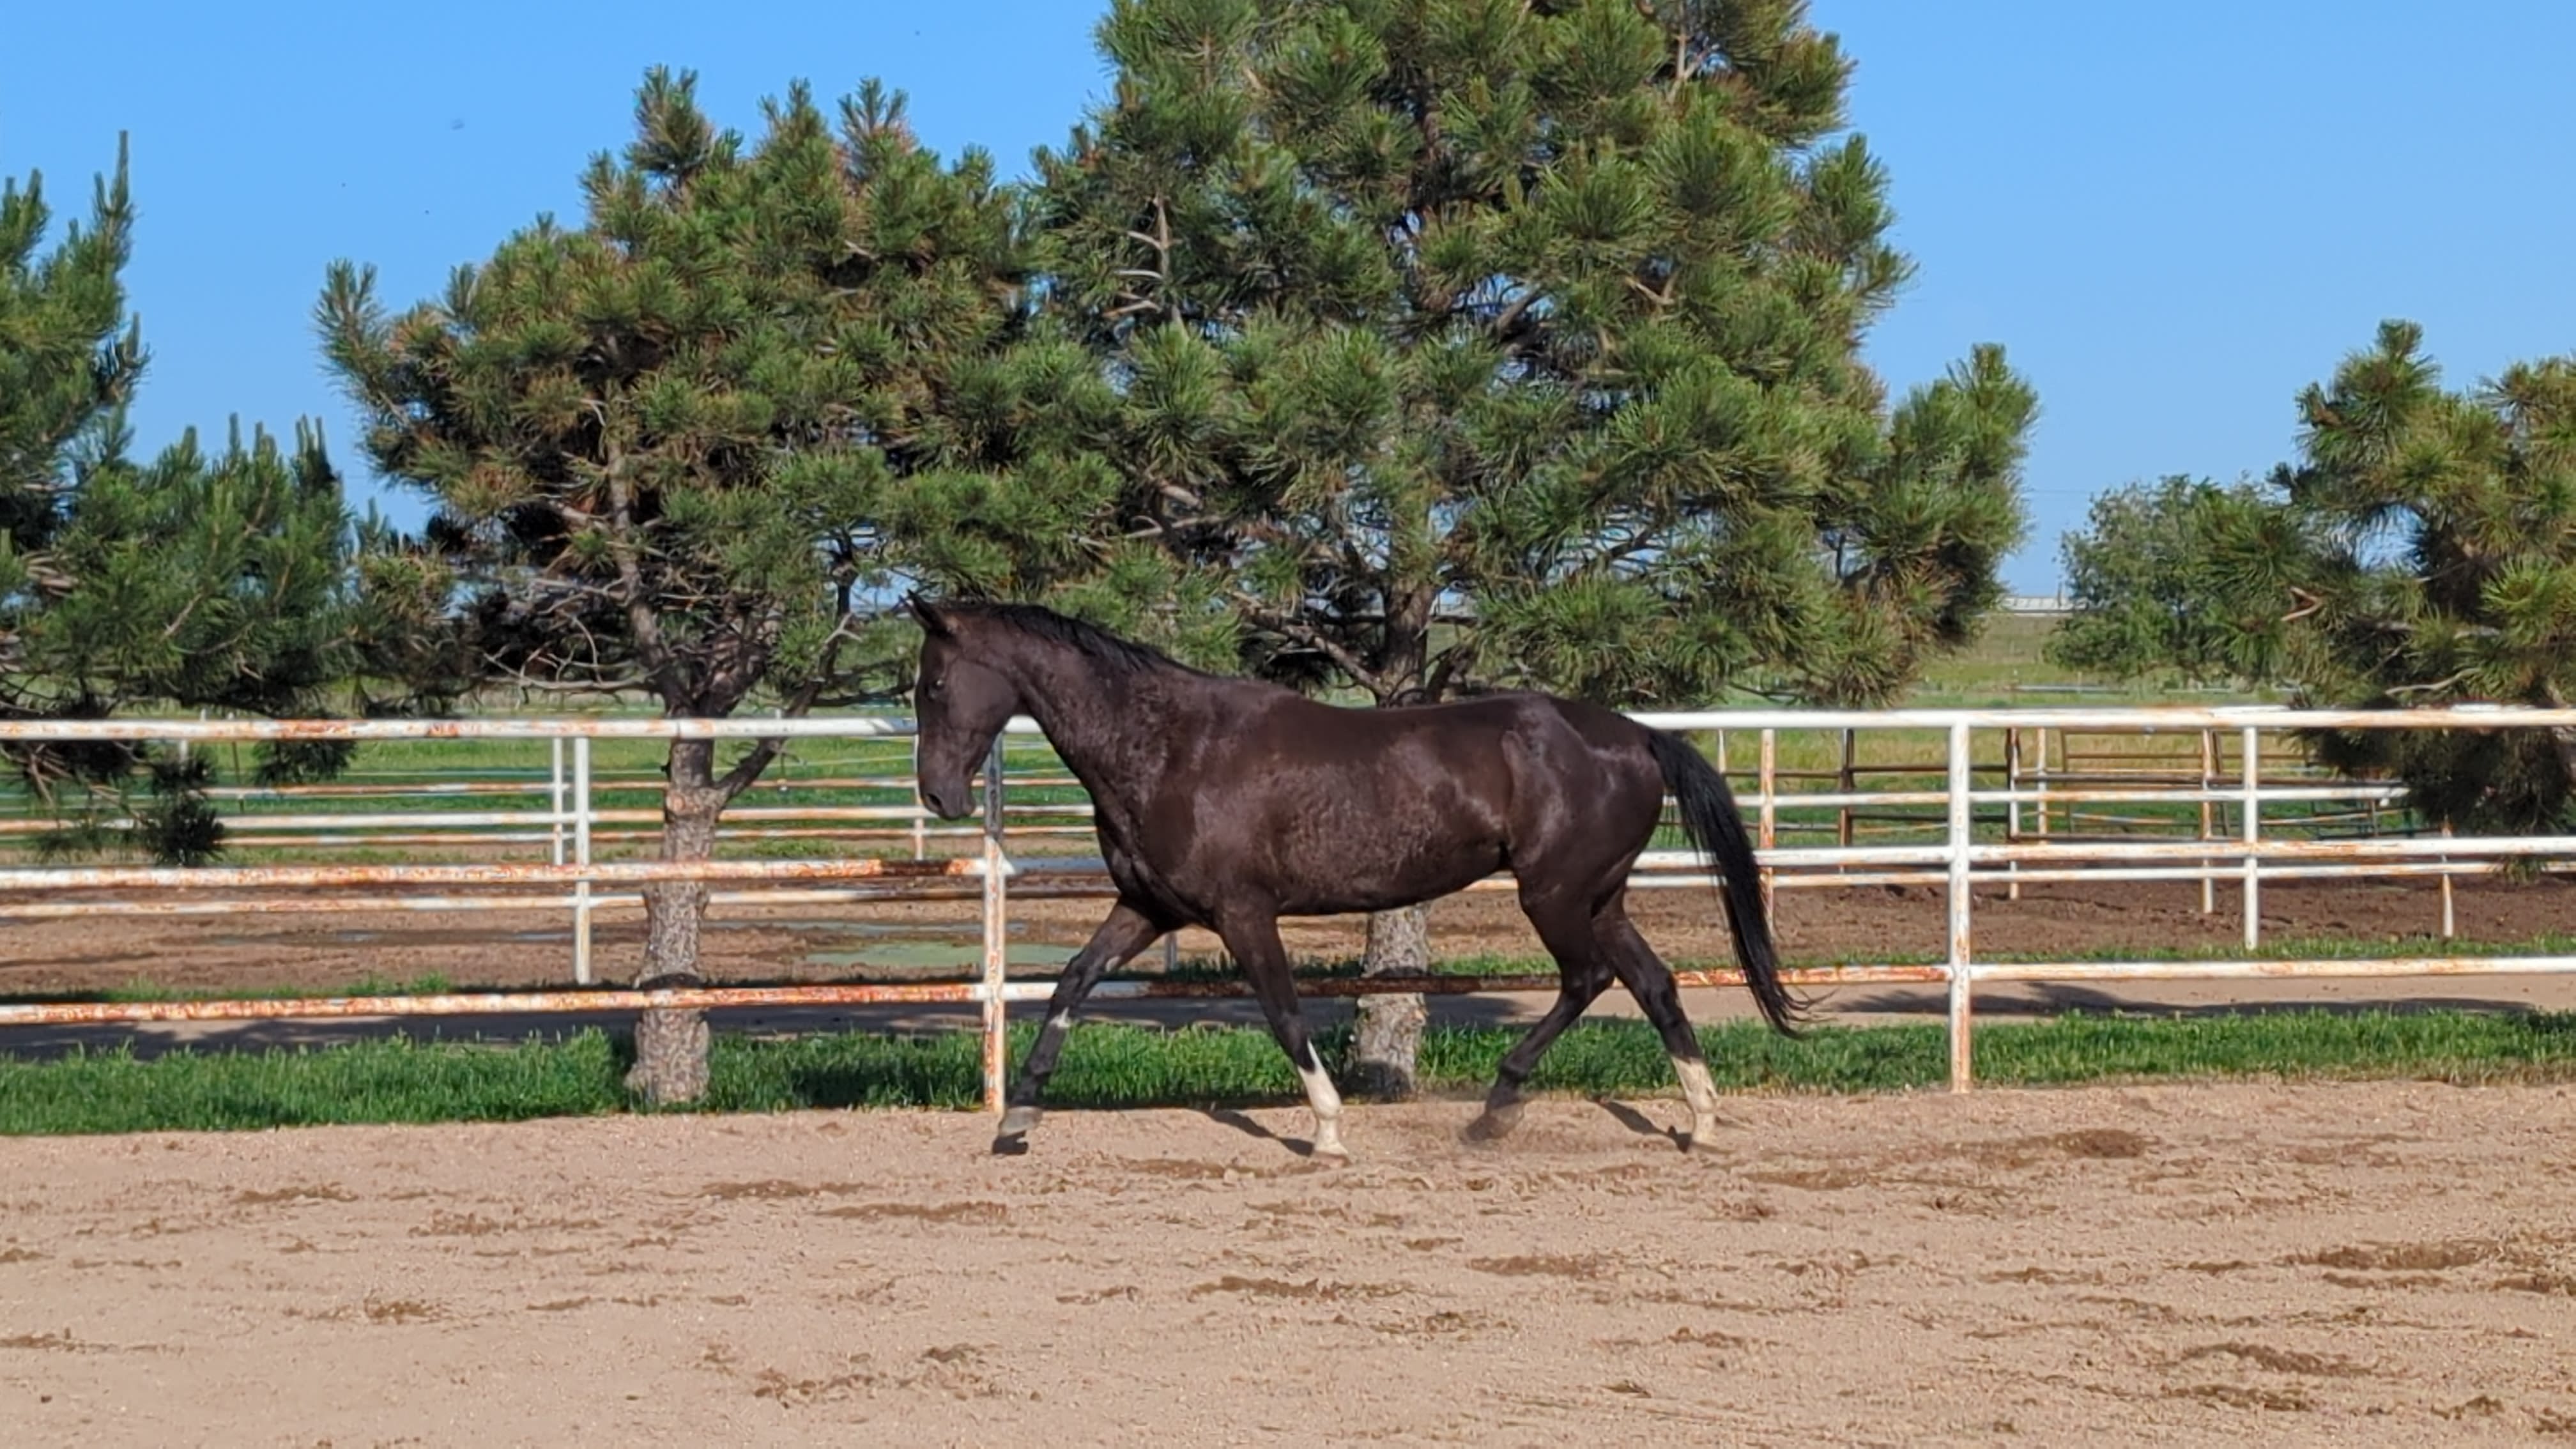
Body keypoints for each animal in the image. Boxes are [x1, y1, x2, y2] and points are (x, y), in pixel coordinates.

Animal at [905, 595, 1805, 1161]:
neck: (1167, 746)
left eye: (934, 683)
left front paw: (1330, 1131)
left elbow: (1283, 1013)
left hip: (1553, 895)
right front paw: (1015, 1123)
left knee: (1588, 980)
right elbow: (1070, 984)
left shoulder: (1244, 914)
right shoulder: (1147, 909)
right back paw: (1700, 1122)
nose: (940, 795)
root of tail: (1640, 736)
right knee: (1653, 984)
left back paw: (1495, 1111)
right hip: (1600, 897)